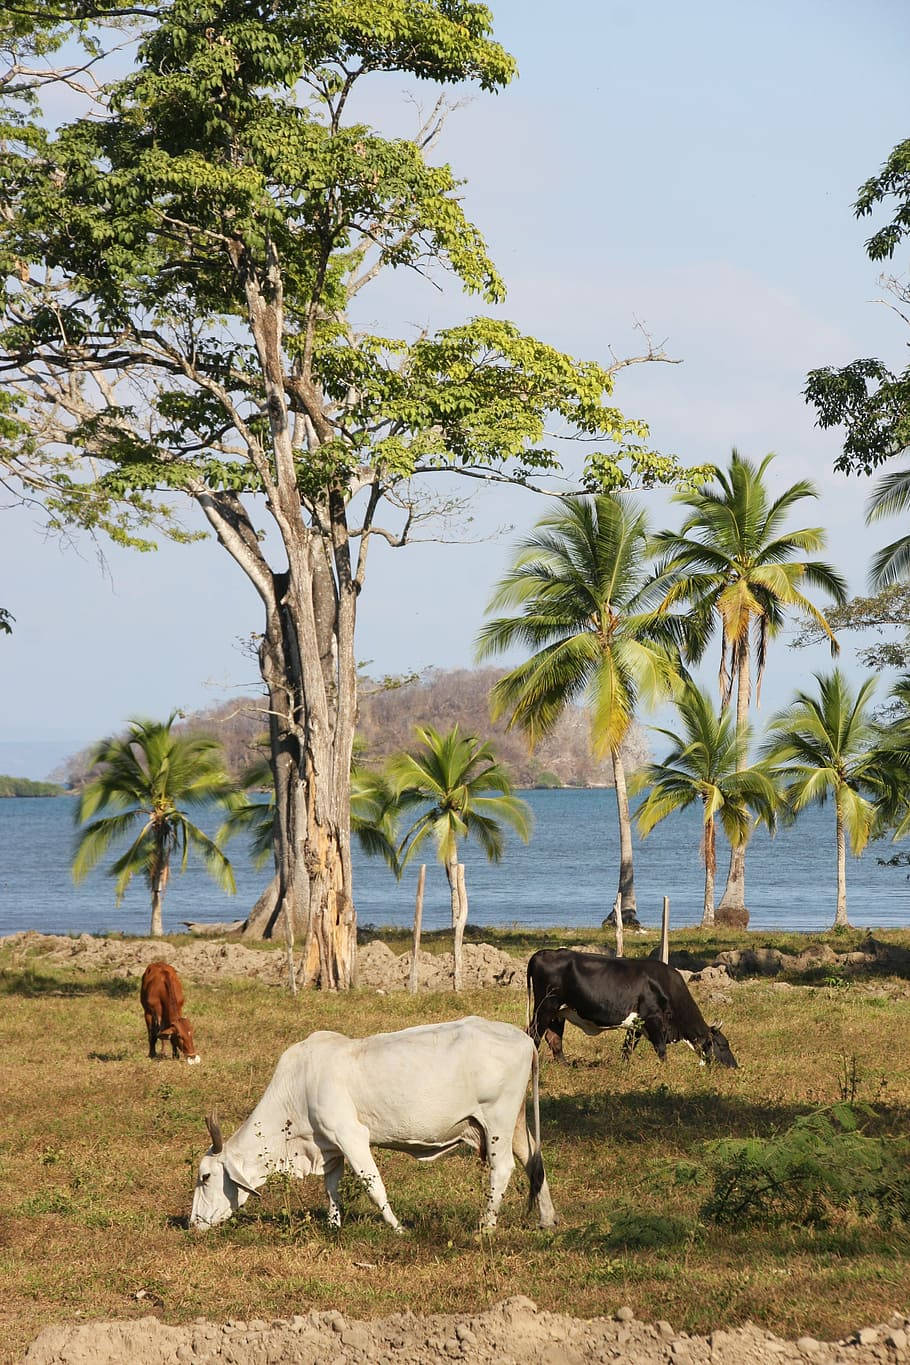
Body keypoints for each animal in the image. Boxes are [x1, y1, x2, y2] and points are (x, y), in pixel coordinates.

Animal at [189, 1015, 559, 1239]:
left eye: (205, 1177)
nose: (192, 1224)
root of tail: (524, 1039)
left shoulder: (350, 1135)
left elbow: (373, 1185)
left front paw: (398, 1229)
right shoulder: (329, 1146)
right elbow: (332, 1188)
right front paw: (333, 1227)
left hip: (497, 1119)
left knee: (503, 1168)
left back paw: (485, 1228)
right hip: (514, 1123)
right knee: (533, 1162)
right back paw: (547, 1220)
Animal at [529, 950, 736, 1064]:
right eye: (723, 1045)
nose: (734, 1066)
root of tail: (543, 953)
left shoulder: (637, 1024)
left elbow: (627, 1048)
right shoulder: (653, 1019)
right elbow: (661, 1049)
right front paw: (666, 1069)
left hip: (558, 1012)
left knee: (554, 1038)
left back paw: (565, 1065)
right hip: (545, 1006)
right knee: (534, 1034)